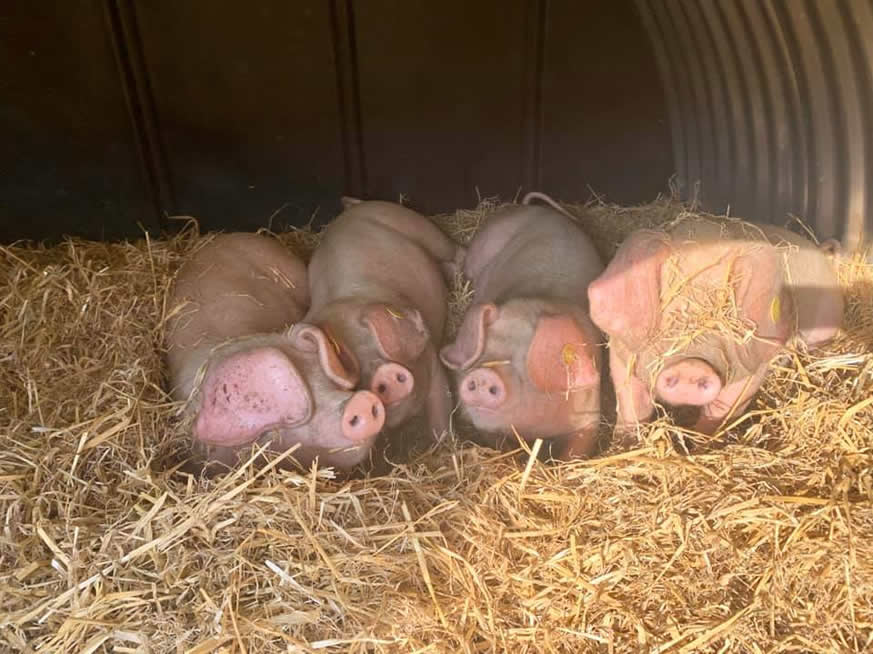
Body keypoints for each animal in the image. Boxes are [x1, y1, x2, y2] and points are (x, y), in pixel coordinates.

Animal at [301, 198, 463, 439]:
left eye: (370, 337)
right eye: (346, 363)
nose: (380, 374)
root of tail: (350, 209)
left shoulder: (431, 358)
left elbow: (441, 416)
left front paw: (447, 443)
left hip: (418, 226)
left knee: (457, 251)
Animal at [438, 192, 605, 459]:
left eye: (526, 359)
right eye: (484, 349)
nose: (483, 375)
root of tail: (535, 209)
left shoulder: (589, 413)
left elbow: (577, 450)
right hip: (483, 245)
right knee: (464, 262)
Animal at [587, 216, 844, 435]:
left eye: (726, 308)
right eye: (667, 299)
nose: (691, 366)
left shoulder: (755, 362)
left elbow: (723, 409)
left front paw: (701, 442)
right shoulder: (622, 351)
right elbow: (632, 402)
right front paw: (625, 441)